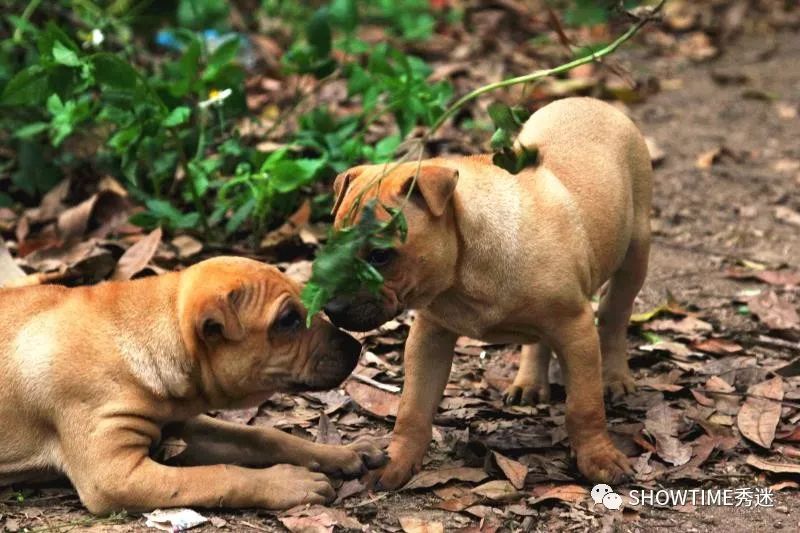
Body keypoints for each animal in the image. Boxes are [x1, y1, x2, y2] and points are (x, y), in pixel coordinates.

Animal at [0, 256, 388, 512]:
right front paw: (288, 483)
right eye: (288, 320)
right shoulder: (112, 475)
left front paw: (342, 452)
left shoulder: (180, 424)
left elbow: (266, 437)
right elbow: (219, 476)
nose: (356, 348)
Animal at [324, 95, 648, 486]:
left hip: (635, 254)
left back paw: (615, 377)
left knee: (614, 316)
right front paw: (397, 461)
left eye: (380, 255)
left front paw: (598, 457)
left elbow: (584, 406)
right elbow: (413, 408)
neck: (462, 273)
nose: (332, 308)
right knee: (541, 339)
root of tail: (588, 100)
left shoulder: (576, 329)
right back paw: (529, 382)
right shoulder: (429, 337)